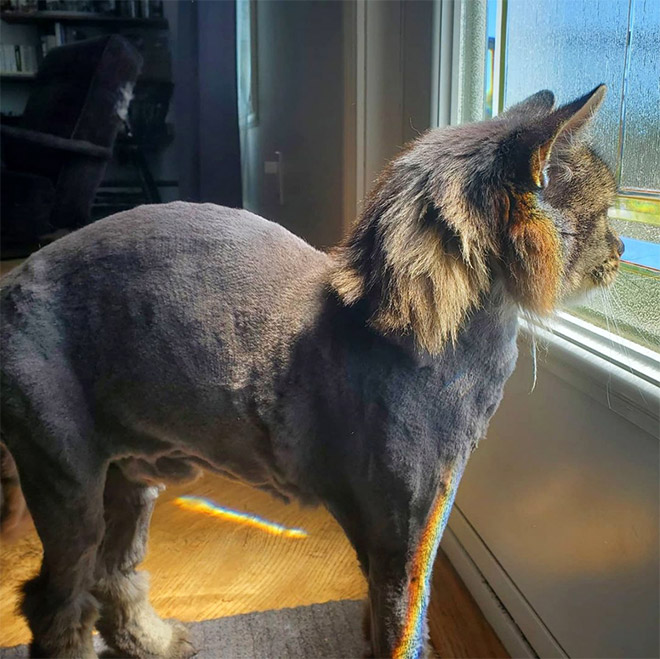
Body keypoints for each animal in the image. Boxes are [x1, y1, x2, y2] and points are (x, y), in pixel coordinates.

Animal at [0, 86, 624, 659]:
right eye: (604, 214)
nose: (623, 248)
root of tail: (12, 282)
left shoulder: (397, 533)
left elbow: (382, 623)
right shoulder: (405, 535)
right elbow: (404, 632)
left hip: (132, 479)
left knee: (112, 577)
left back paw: (154, 641)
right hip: (68, 486)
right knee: (58, 602)